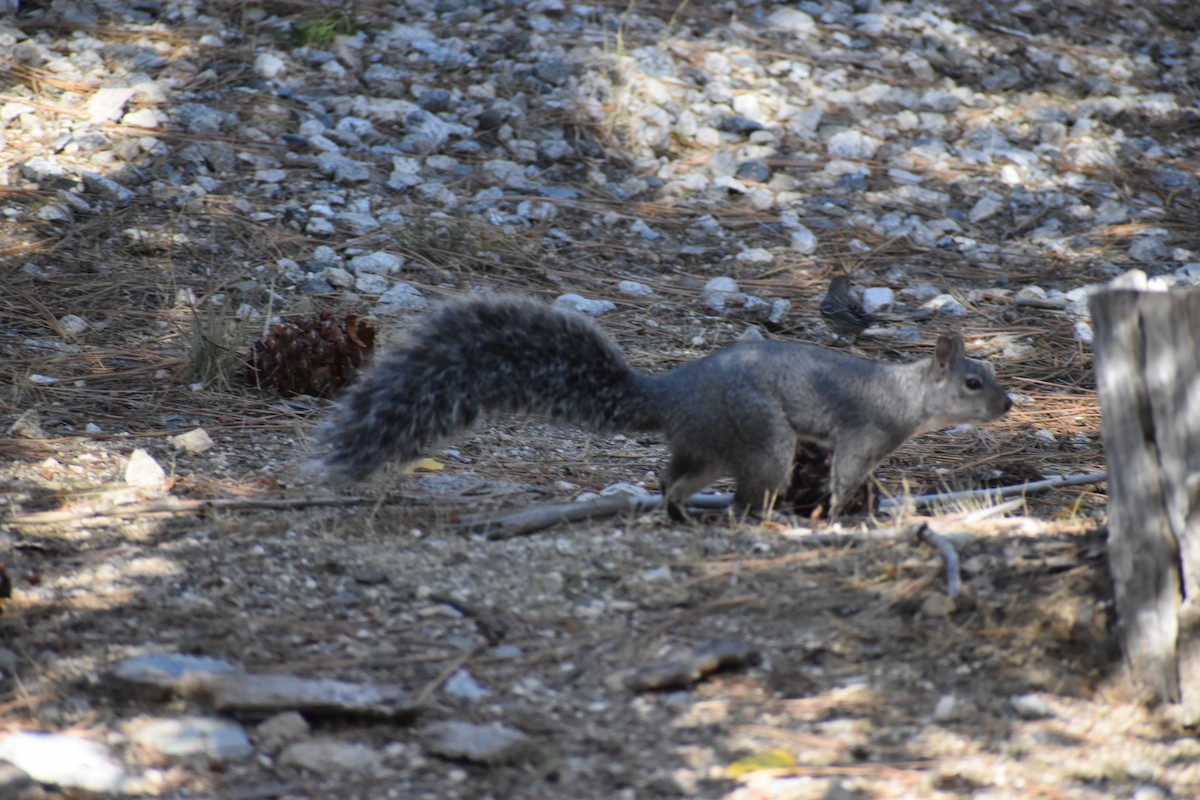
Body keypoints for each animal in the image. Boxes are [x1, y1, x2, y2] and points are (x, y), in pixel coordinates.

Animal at [311, 295, 1012, 519]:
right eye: (973, 382)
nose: (1008, 405)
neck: (907, 393)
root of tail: (669, 394)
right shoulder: (867, 431)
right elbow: (846, 473)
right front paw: (844, 513)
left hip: (710, 446)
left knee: (672, 478)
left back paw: (678, 513)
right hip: (760, 437)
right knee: (744, 496)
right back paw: (763, 521)